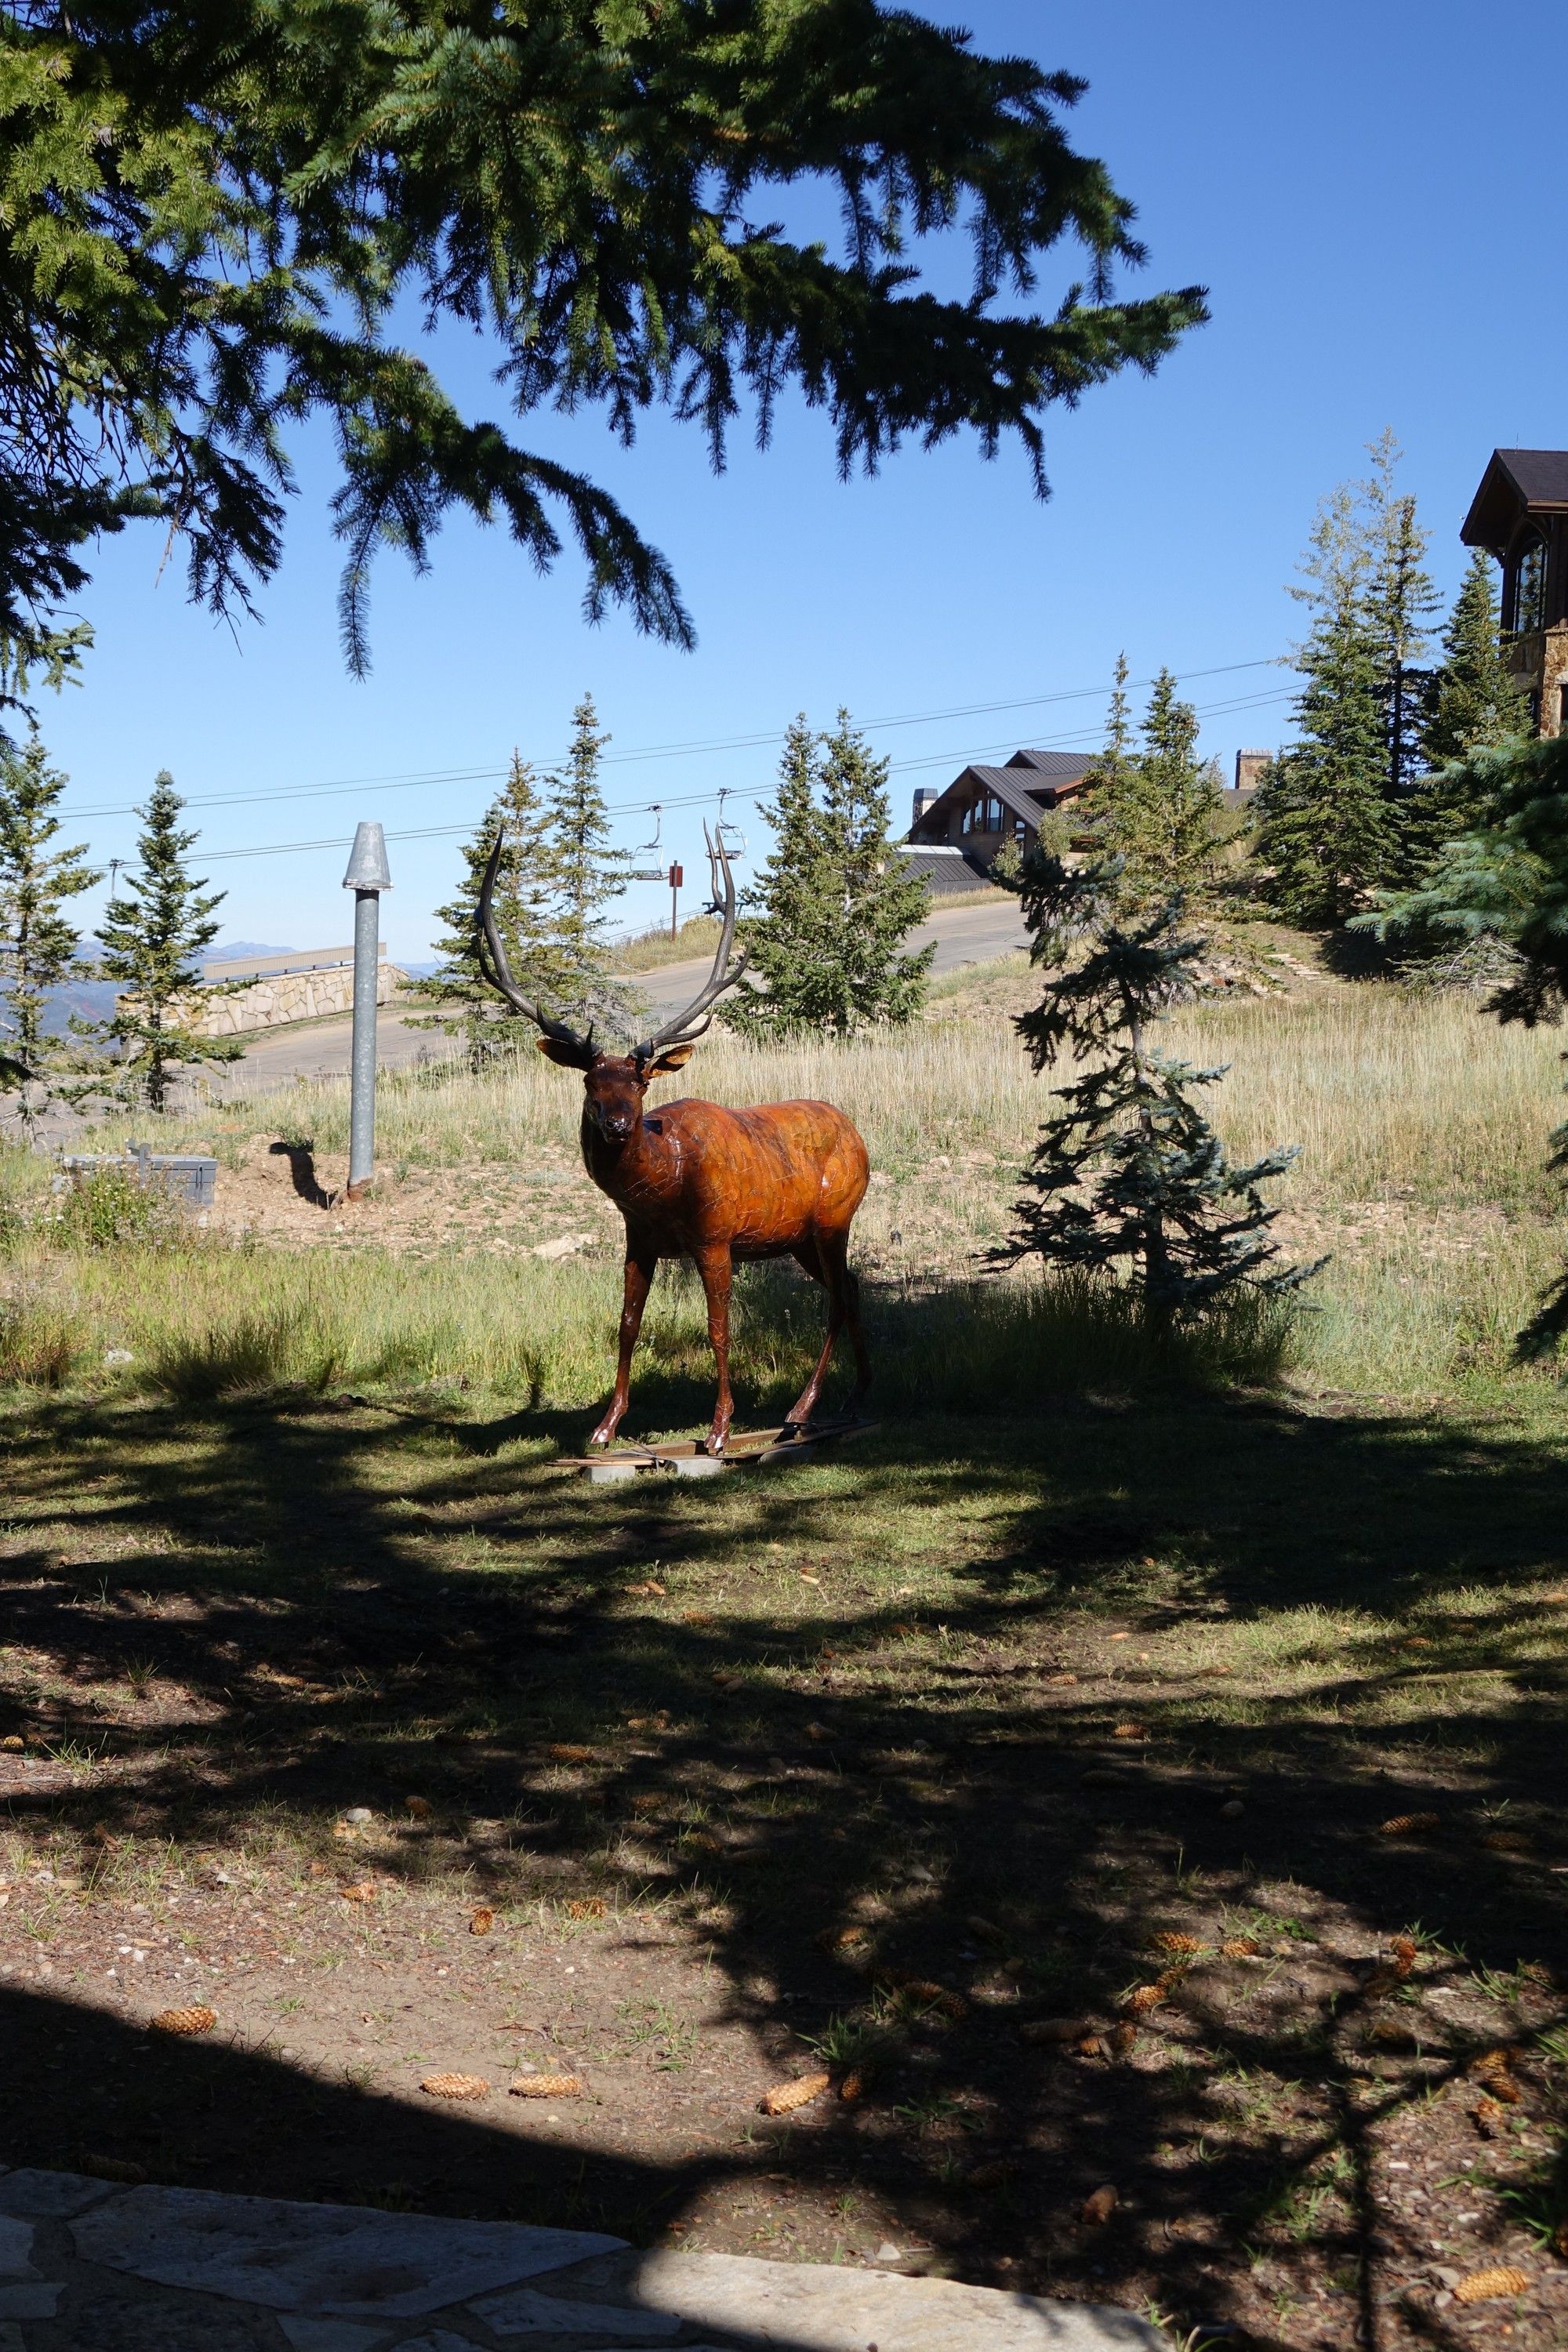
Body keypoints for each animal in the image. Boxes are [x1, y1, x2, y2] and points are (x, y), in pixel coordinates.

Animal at [476, 826, 871, 1455]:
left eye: (640, 1083)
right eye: (589, 1081)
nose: (616, 1125)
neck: (665, 1187)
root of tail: (859, 1135)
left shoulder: (715, 1238)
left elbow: (718, 1328)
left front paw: (719, 1428)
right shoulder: (639, 1238)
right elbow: (627, 1325)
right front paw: (606, 1425)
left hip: (835, 1217)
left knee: (835, 1298)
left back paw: (804, 1409)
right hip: (799, 1237)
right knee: (853, 1288)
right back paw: (856, 1395)